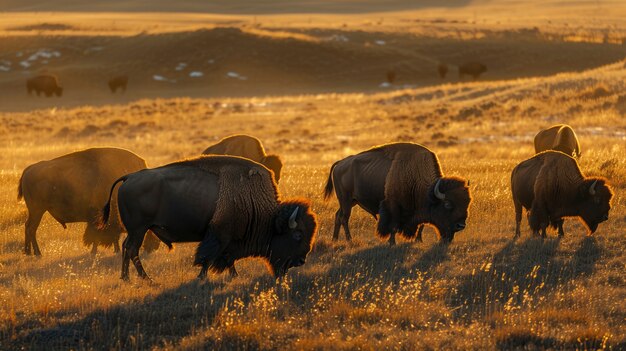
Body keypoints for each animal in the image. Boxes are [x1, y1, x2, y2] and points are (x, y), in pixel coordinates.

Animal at [18, 148, 161, 256]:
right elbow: (98, 236)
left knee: (28, 227)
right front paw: (98, 251)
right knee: (31, 228)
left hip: (35, 211)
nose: (153, 247)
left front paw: (114, 250)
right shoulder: (100, 218)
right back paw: (37, 253)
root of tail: (28, 169)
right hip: (37, 211)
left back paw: (28, 252)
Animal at [100, 155, 320, 282]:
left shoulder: (228, 239)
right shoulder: (219, 234)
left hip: (137, 230)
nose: (301, 260)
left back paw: (126, 278)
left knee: (127, 248)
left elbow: (227, 258)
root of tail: (129, 177)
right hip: (139, 229)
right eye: (298, 234)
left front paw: (233, 275)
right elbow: (207, 257)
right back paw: (145, 279)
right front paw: (202, 277)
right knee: (132, 249)